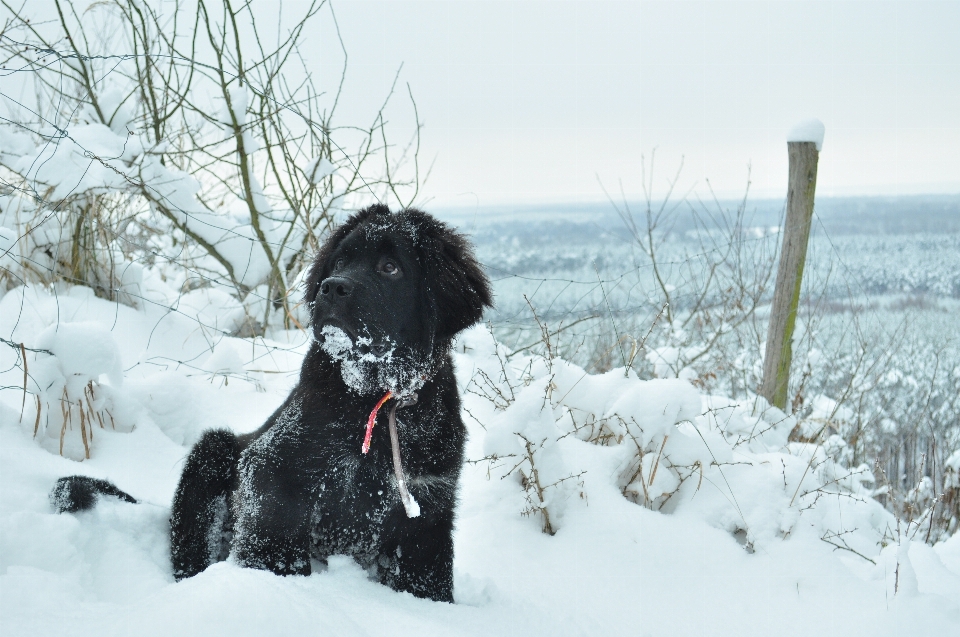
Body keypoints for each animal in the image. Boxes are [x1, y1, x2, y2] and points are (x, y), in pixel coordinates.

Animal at [56, 206, 492, 604]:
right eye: (340, 262)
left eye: (390, 267)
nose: (331, 288)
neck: (374, 397)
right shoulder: (274, 468)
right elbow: (274, 544)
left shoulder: (428, 506)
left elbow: (427, 578)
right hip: (211, 454)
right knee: (189, 549)